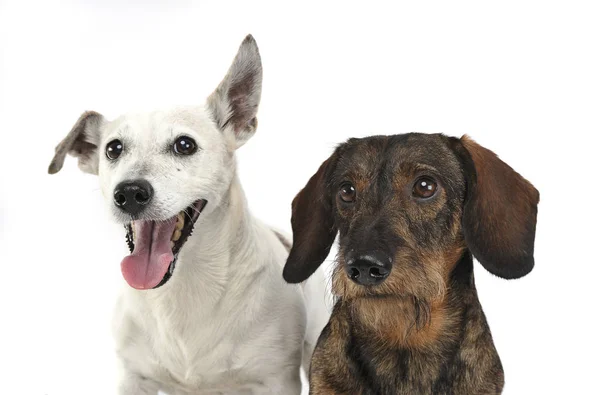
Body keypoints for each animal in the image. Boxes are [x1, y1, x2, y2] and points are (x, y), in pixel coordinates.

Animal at [48, 35, 328, 394]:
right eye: (113, 149)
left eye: (185, 145)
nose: (129, 193)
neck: (184, 286)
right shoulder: (133, 377)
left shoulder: (275, 380)